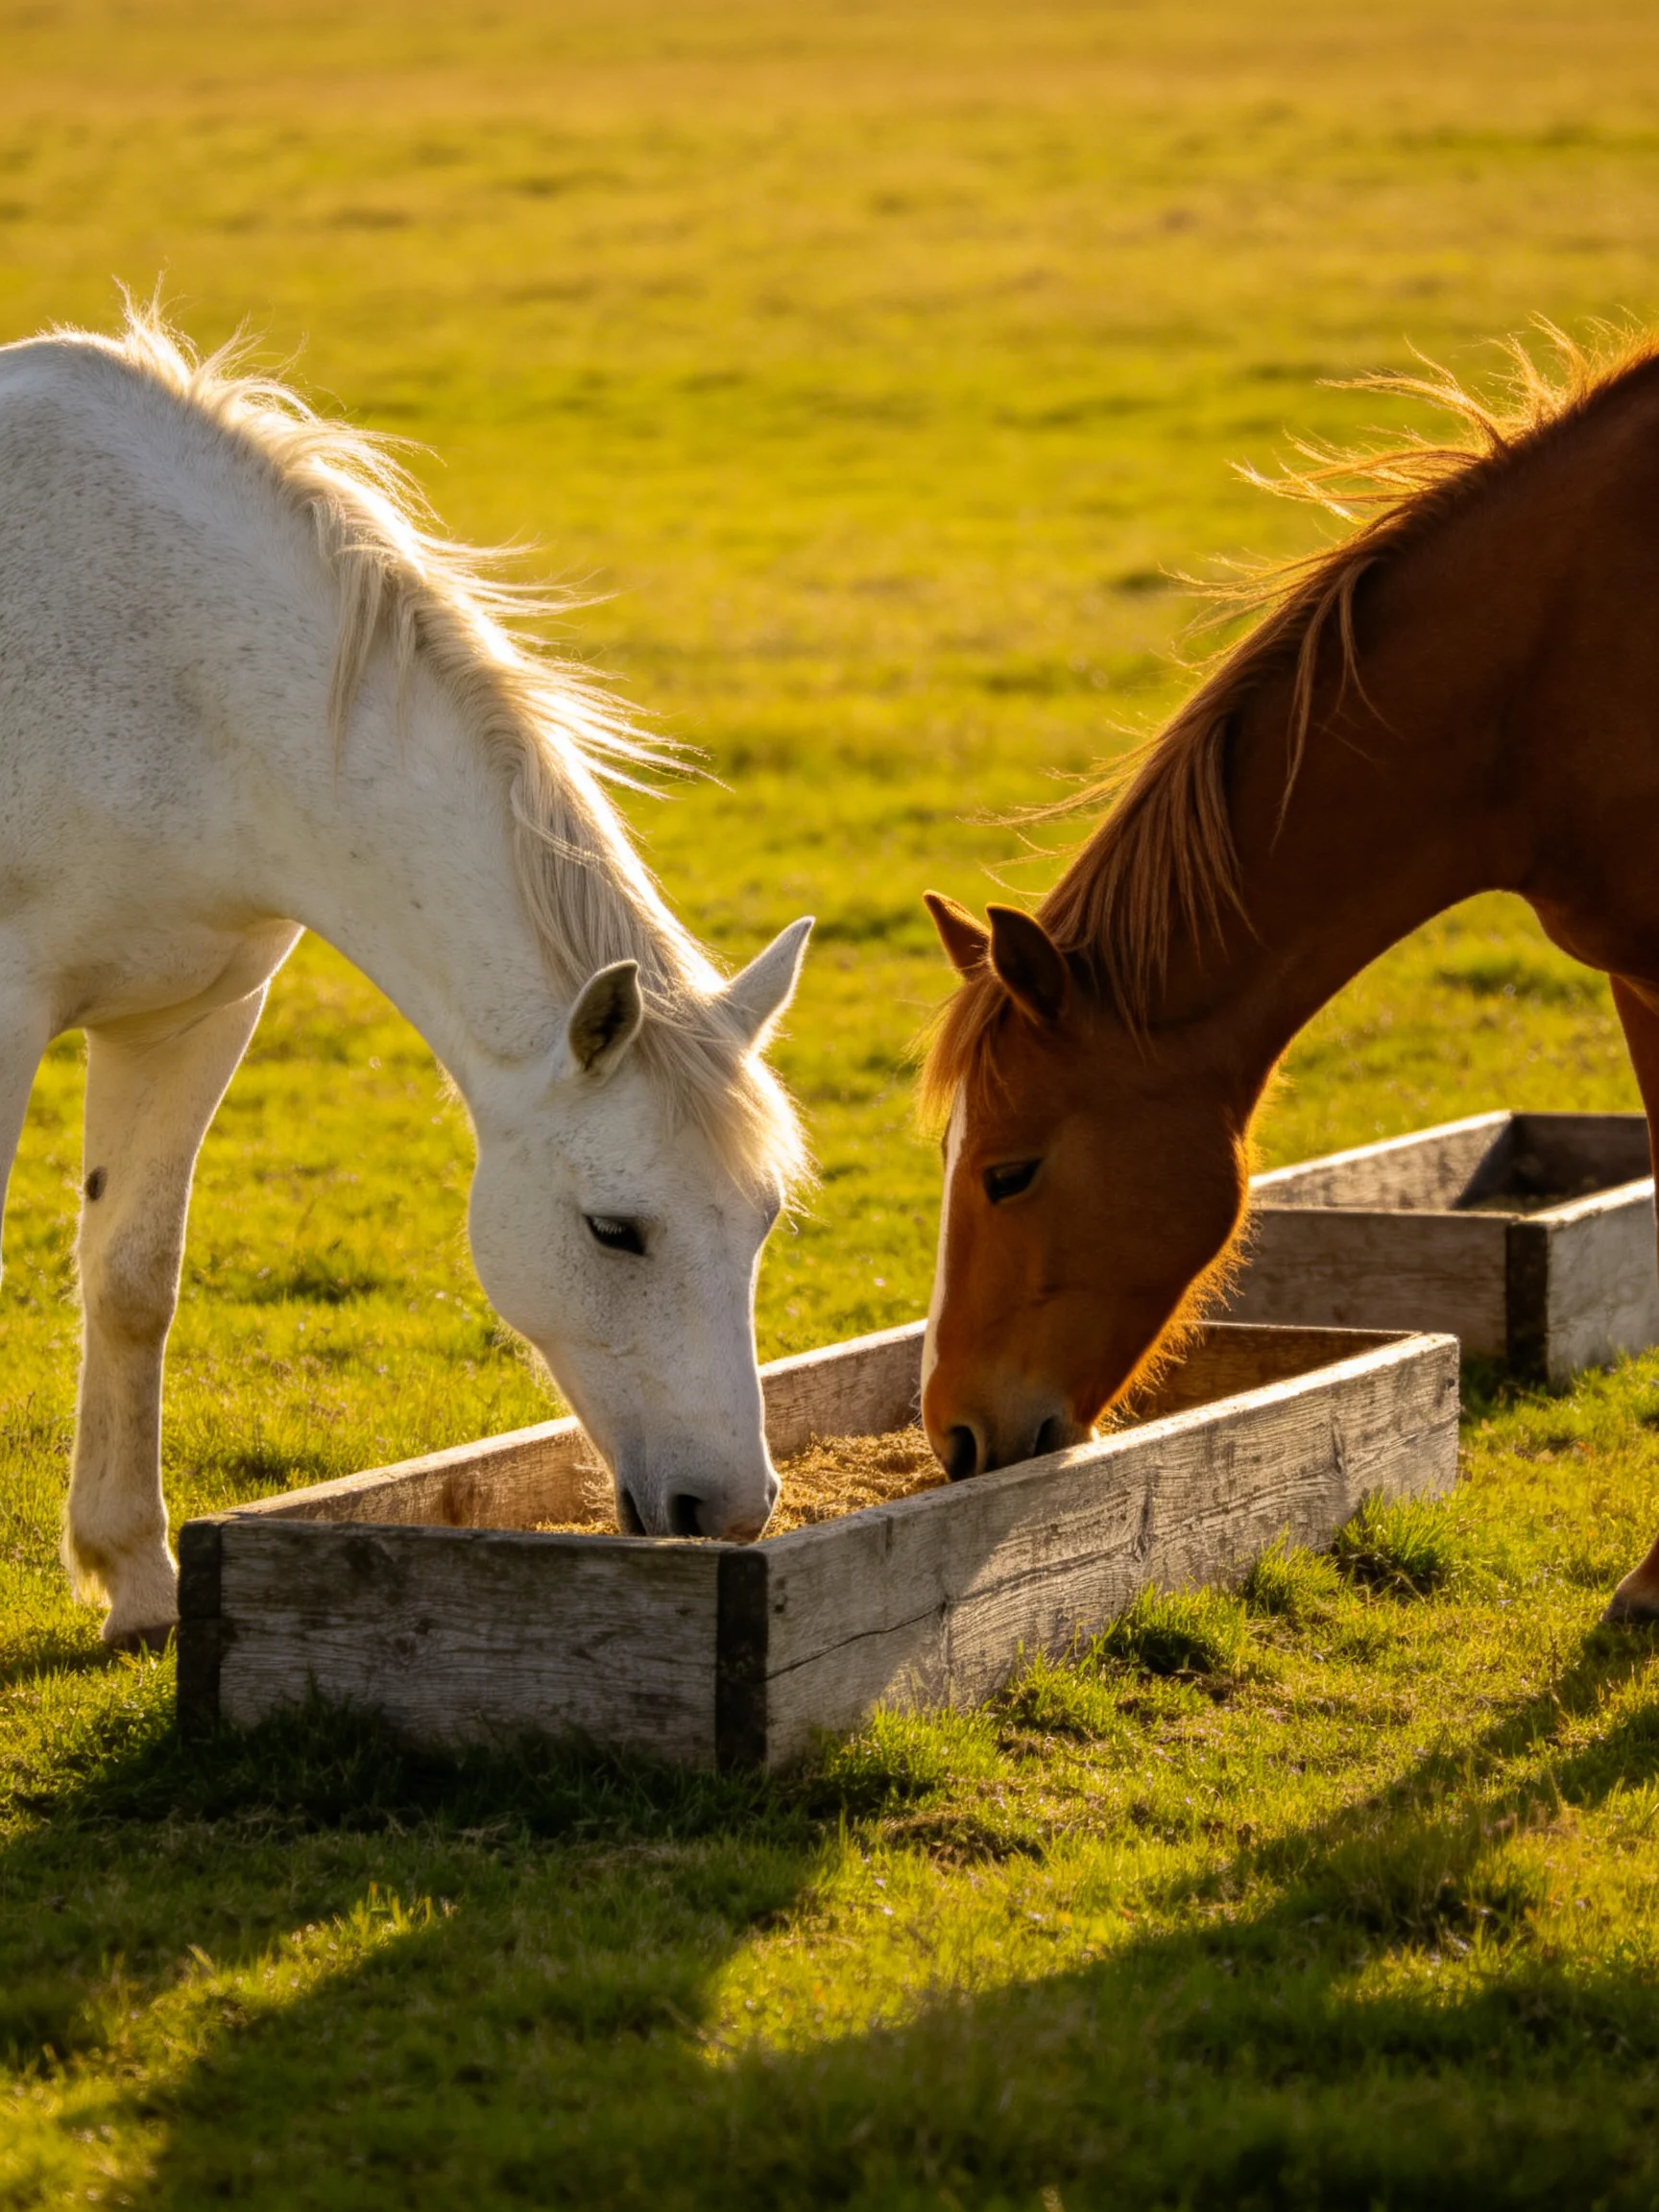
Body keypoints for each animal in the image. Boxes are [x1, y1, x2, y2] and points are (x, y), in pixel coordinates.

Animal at [0, 304, 812, 1649]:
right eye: (615, 1230)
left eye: (761, 1220)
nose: (732, 1509)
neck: (162, 664)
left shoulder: (191, 1016)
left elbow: (131, 1280)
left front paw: (137, 1578)